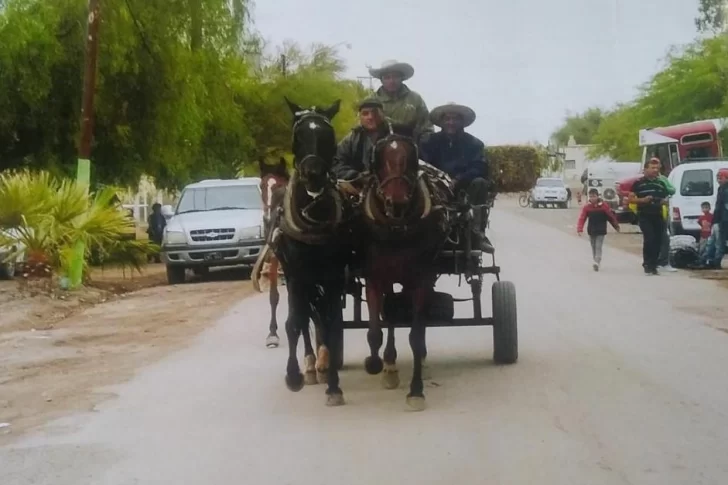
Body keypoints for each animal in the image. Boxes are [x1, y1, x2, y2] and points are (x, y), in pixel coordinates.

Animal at [270, 96, 352, 406]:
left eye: (328, 135)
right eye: (298, 135)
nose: (314, 175)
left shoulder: (333, 276)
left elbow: (330, 321)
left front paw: (334, 386)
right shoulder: (295, 275)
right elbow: (295, 322)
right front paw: (293, 375)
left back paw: (324, 360)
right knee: (304, 316)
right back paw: (309, 364)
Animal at [358, 133, 450, 412]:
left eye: (410, 158)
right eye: (378, 158)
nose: (396, 203)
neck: (396, 229)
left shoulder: (420, 280)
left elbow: (416, 335)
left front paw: (416, 390)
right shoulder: (374, 278)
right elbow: (375, 331)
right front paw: (377, 363)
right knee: (390, 315)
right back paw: (389, 365)